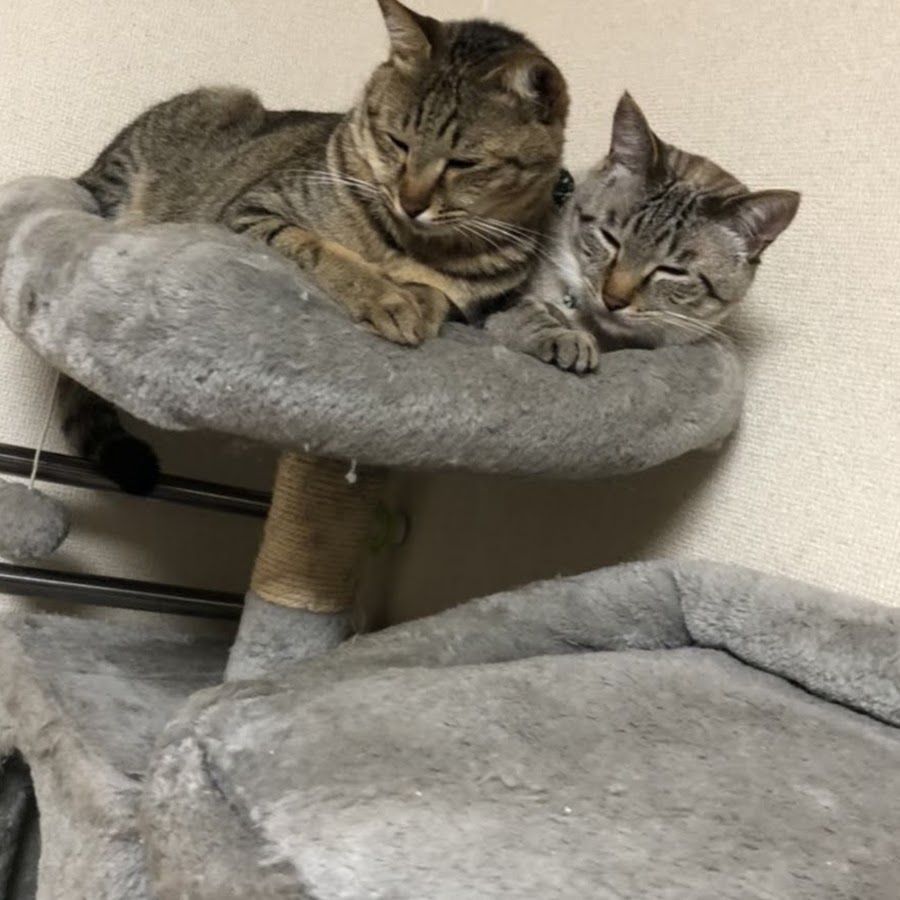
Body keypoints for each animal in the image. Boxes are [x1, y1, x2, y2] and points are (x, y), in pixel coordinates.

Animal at [64, 0, 569, 492]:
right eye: (397, 142)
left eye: (464, 163)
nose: (410, 203)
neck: (409, 244)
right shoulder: (255, 211)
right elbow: (328, 253)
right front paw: (388, 301)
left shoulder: (469, 299)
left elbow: (438, 293)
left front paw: (419, 305)